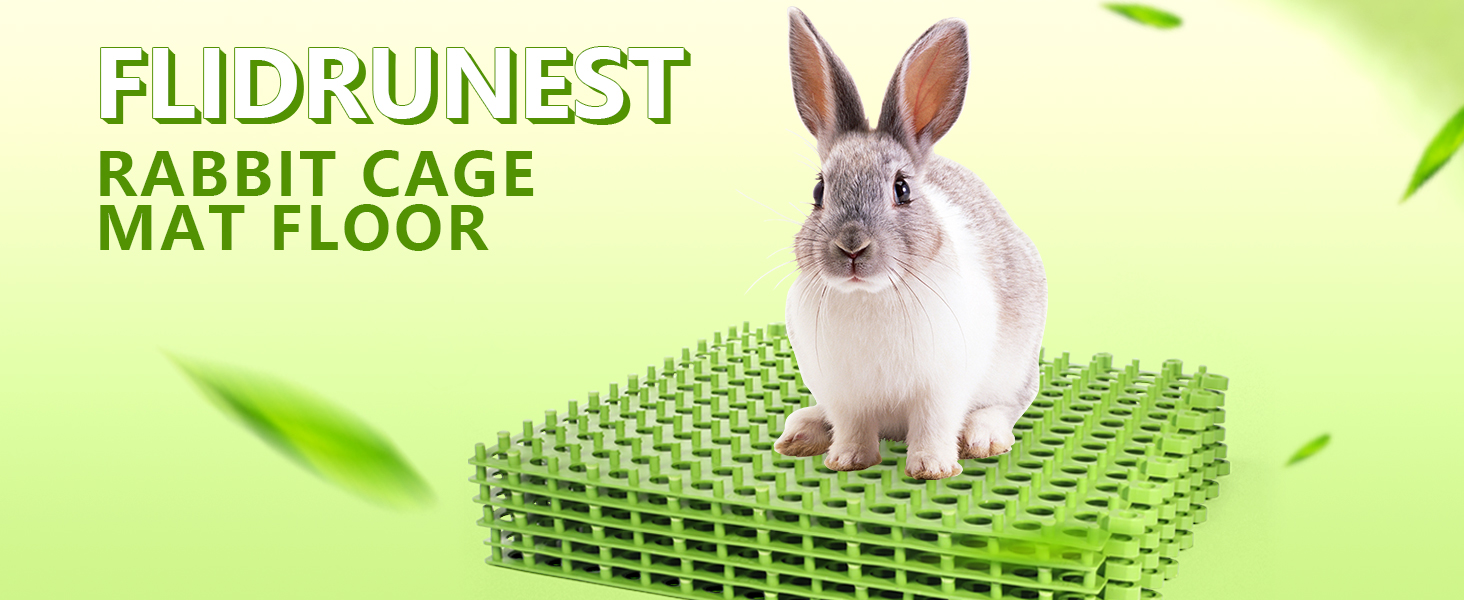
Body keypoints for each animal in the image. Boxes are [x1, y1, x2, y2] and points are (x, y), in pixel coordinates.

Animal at [772, 7, 1047, 480]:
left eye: (901, 189)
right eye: (819, 191)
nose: (852, 247)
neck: (870, 295)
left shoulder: (942, 387)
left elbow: (934, 425)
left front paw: (932, 468)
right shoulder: (844, 393)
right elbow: (852, 427)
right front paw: (847, 460)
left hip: (1016, 370)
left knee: (1006, 406)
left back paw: (984, 437)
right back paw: (801, 432)